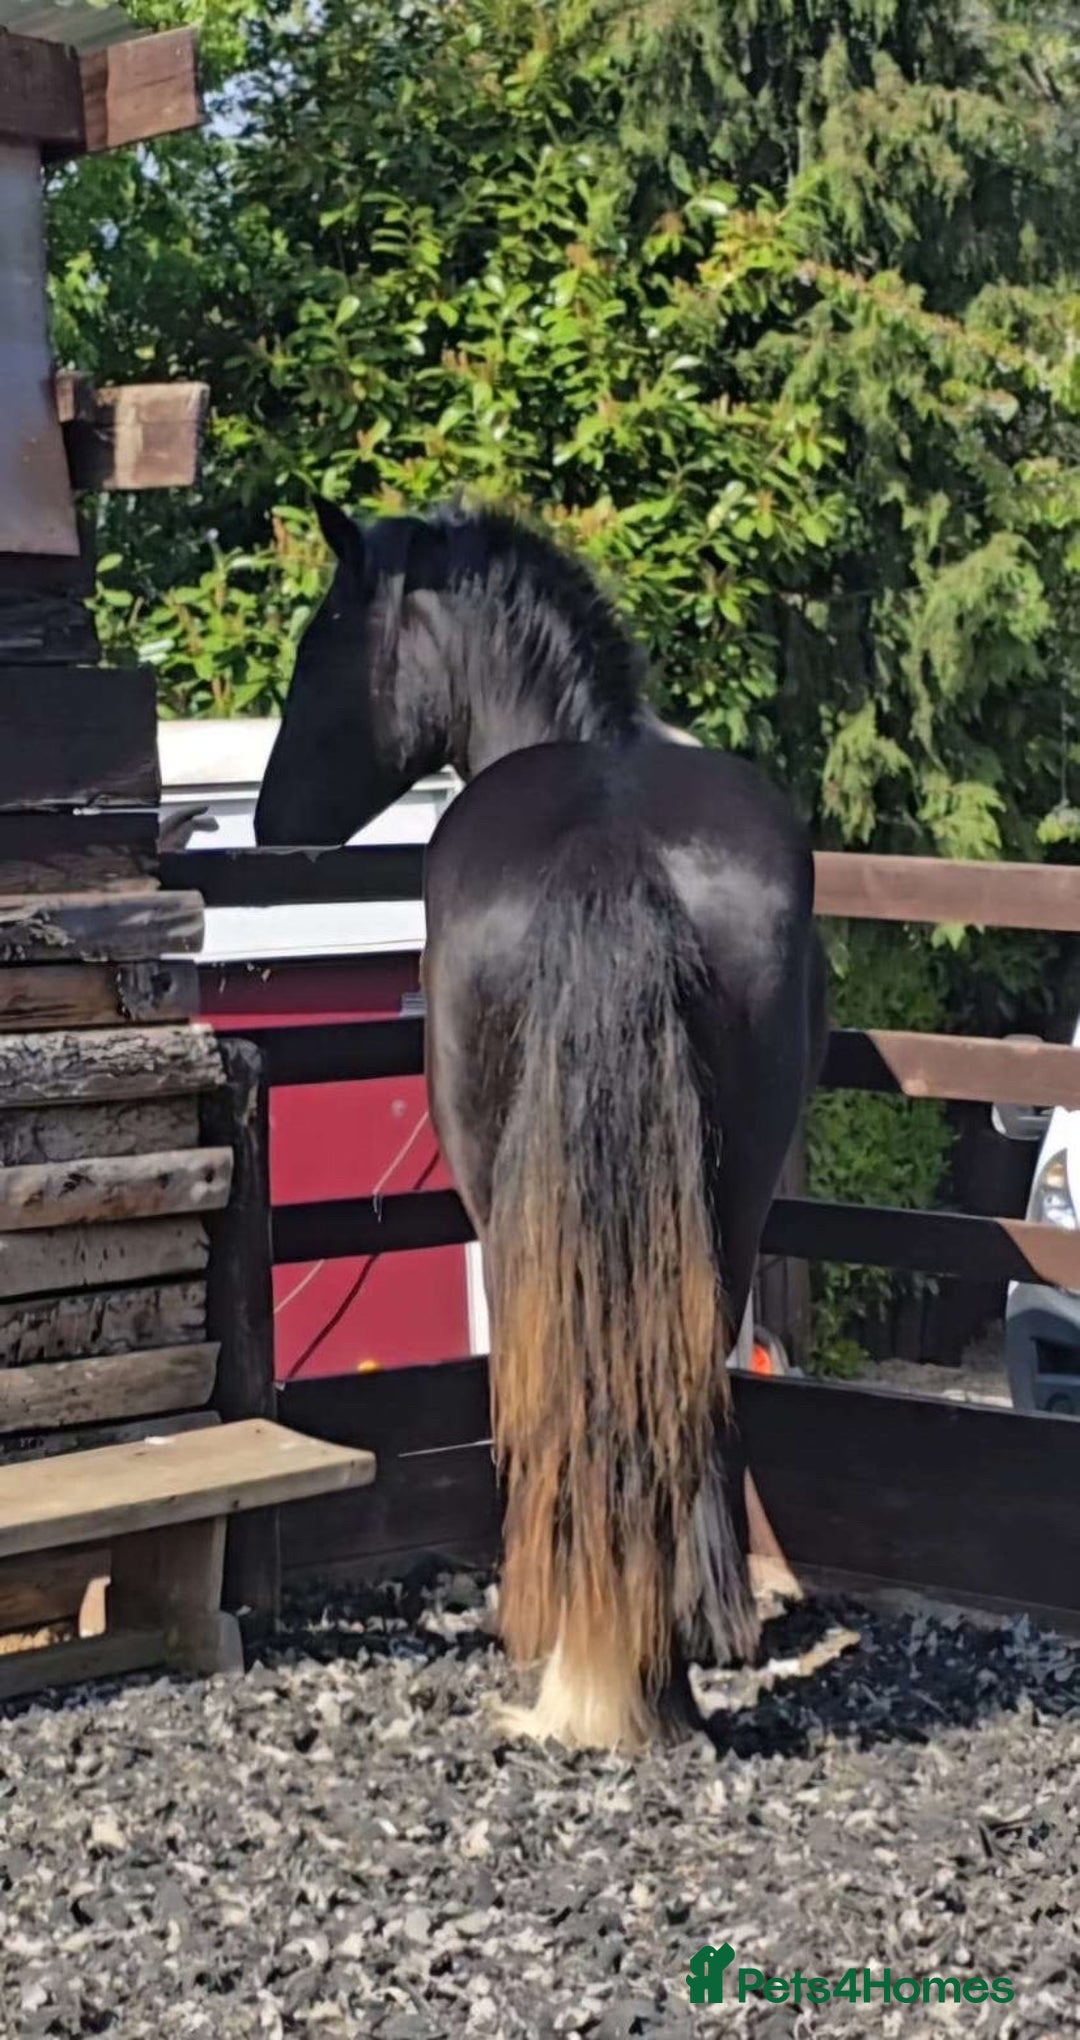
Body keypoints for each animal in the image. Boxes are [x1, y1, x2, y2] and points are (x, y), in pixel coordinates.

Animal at [255, 497, 828, 1751]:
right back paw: (669, 1640)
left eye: (324, 637)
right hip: (730, 1196)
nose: (270, 821)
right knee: (682, 1369)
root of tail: (610, 848)